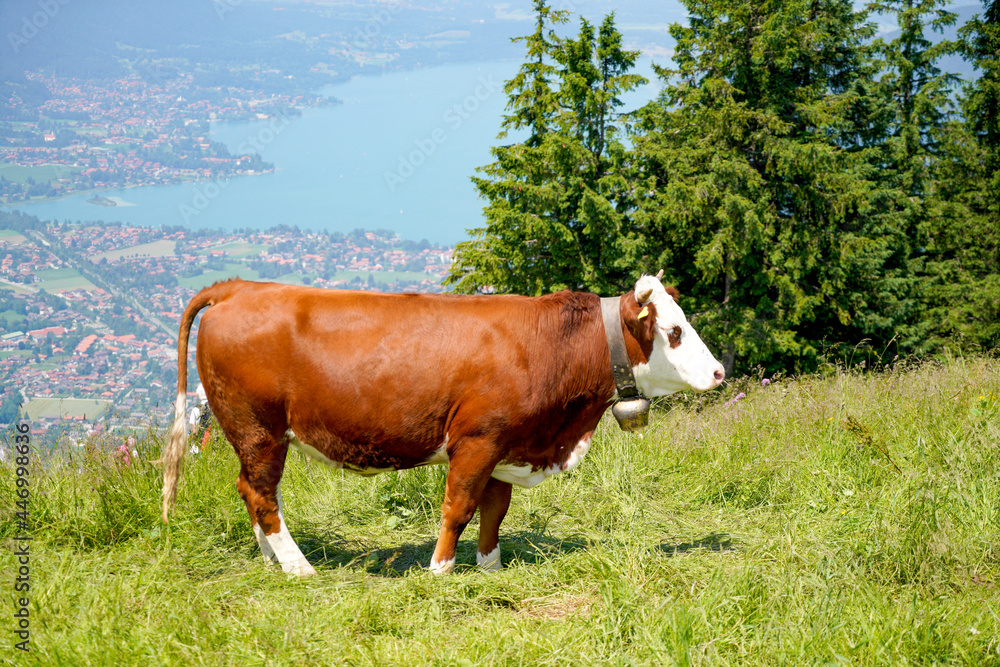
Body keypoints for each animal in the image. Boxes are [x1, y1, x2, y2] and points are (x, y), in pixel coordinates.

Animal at [160, 274, 724, 576]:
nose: (720, 372)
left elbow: (495, 510)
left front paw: (490, 566)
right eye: (675, 331)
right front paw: (441, 568)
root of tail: (239, 288)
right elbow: (459, 507)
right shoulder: (478, 440)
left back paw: (271, 559)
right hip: (260, 430)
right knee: (262, 495)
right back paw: (299, 566)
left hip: (253, 435)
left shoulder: (507, 443)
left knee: (252, 491)